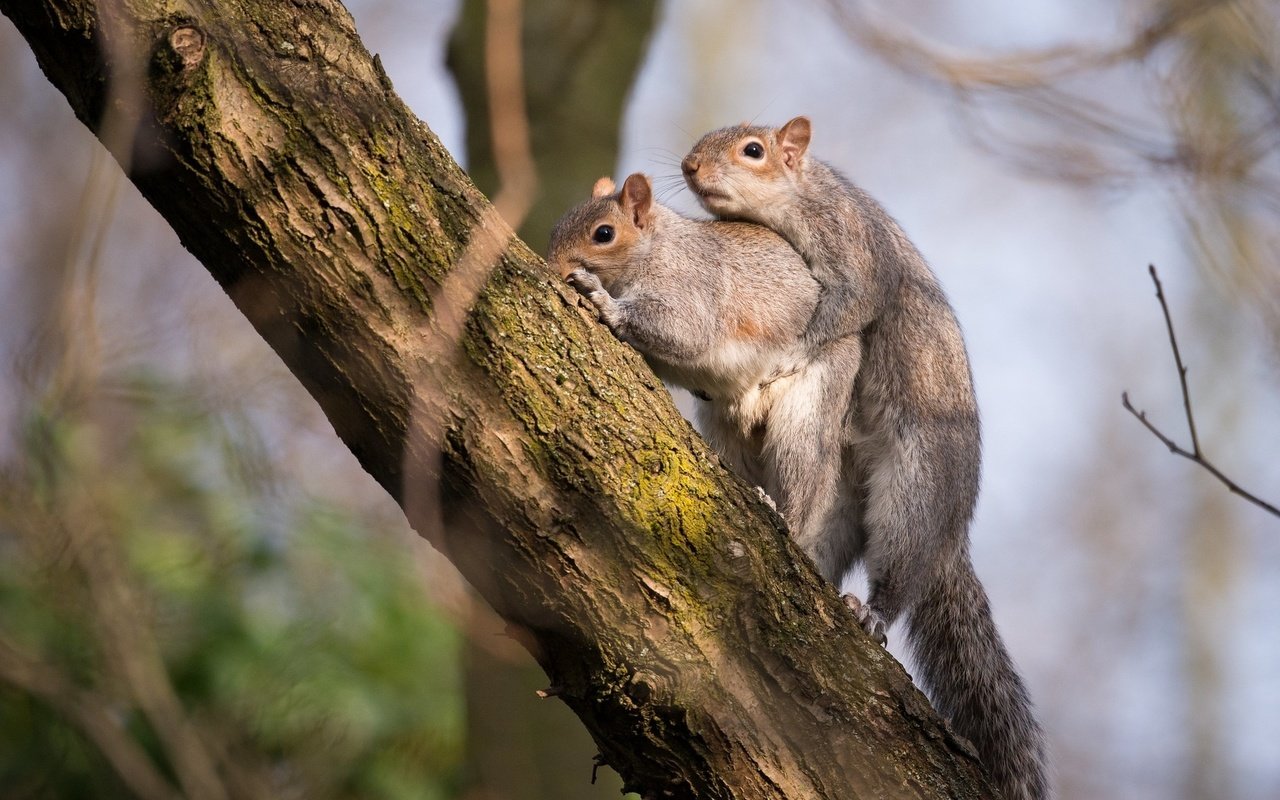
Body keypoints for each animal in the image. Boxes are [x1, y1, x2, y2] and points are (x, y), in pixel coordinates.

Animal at [545, 172, 855, 560]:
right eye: (557, 228)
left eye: (603, 234)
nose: (553, 268)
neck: (655, 246)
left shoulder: (692, 285)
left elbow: (686, 331)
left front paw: (600, 298)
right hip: (723, 428)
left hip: (812, 401)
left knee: (803, 470)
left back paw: (786, 518)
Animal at [686, 113, 1044, 798]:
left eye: (753, 150)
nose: (690, 168)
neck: (800, 198)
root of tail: (952, 532)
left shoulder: (853, 252)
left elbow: (843, 311)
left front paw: (789, 354)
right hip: (840, 504)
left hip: (914, 490)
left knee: (897, 571)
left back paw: (873, 613)